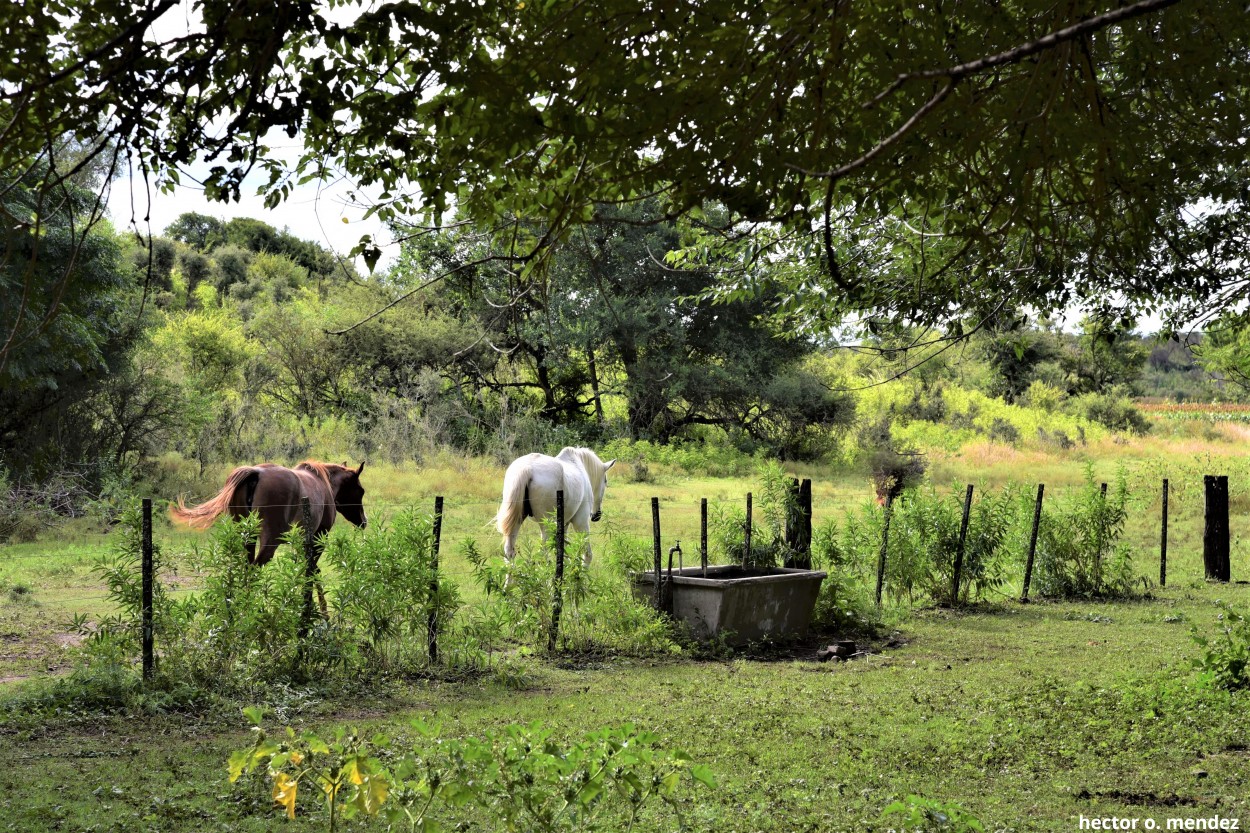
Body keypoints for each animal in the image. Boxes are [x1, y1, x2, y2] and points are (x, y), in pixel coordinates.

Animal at [166, 457, 365, 567]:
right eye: (361, 491)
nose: (364, 521)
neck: (323, 483)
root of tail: (256, 472)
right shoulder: (318, 537)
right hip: (269, 541)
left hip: (246, 537)